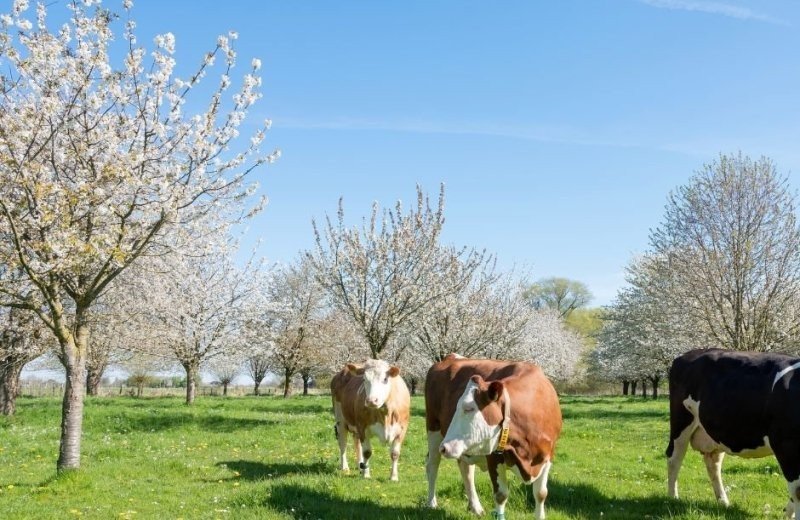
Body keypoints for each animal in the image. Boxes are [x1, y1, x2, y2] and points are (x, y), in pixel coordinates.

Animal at [424, 354, 564, 520]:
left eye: (469, 408)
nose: (445, 447)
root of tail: (451, 357)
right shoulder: (494, 456)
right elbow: (501, 495)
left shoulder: (547, 456)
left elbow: (541, 493)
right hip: (434, 429)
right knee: (432, 465)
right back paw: (431, 503)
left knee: (466, 470)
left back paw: (475, 507)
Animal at [664, 350, 800, 516]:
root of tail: (686, 355)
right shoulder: (787, 445)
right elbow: (798, 492)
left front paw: (787, 511)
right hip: (681, 422)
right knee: (674, 458)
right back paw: (672, 498)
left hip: (716, 433)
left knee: (713, 463)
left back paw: (723, 501)